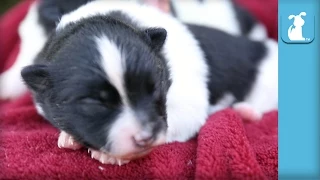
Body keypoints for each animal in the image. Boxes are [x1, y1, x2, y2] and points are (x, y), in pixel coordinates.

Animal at [18, 0, 278, 165]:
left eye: (154, 90)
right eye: (94, 103)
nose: (144, 137)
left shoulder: (187, 104)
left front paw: (113, 156)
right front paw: (69, 136)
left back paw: (245, 111)